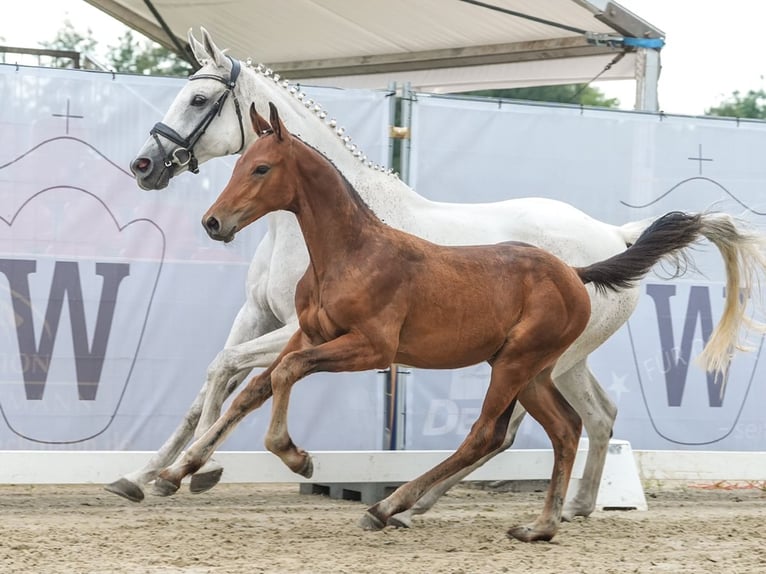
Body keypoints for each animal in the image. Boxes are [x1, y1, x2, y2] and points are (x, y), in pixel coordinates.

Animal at [115, 30, 766, 528]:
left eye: (199, 99)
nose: (144, 166)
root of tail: (614, 238)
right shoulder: (264, 316)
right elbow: (217, 378)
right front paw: (150, 473)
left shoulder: (300, 333)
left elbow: (233, 371)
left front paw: (195, 470)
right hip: (561, 360)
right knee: (595, 417)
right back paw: (565, 506)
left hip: (545, 358)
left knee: (514, 429)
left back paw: (419, 504)